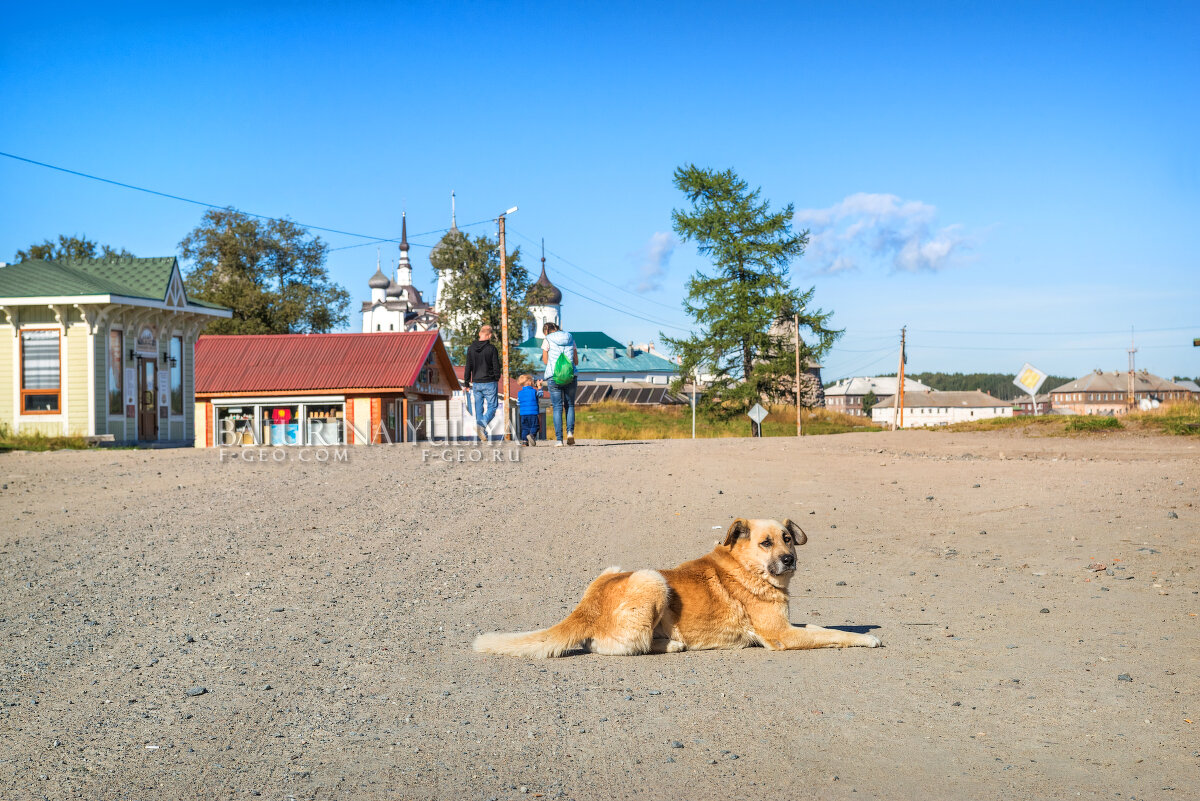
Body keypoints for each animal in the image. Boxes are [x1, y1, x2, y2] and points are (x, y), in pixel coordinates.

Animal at [470, 520, 883, 657]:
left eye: (787, 539)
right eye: (766, 543)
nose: (789, 560)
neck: (746, 569)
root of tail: (586, 606)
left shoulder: (788, 627)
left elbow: (823, 627)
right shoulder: (781, 635)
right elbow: (832, 634)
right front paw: (867, 639)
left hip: (617, 569)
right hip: (651, 579)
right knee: (614, 646)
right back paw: (670, 643)